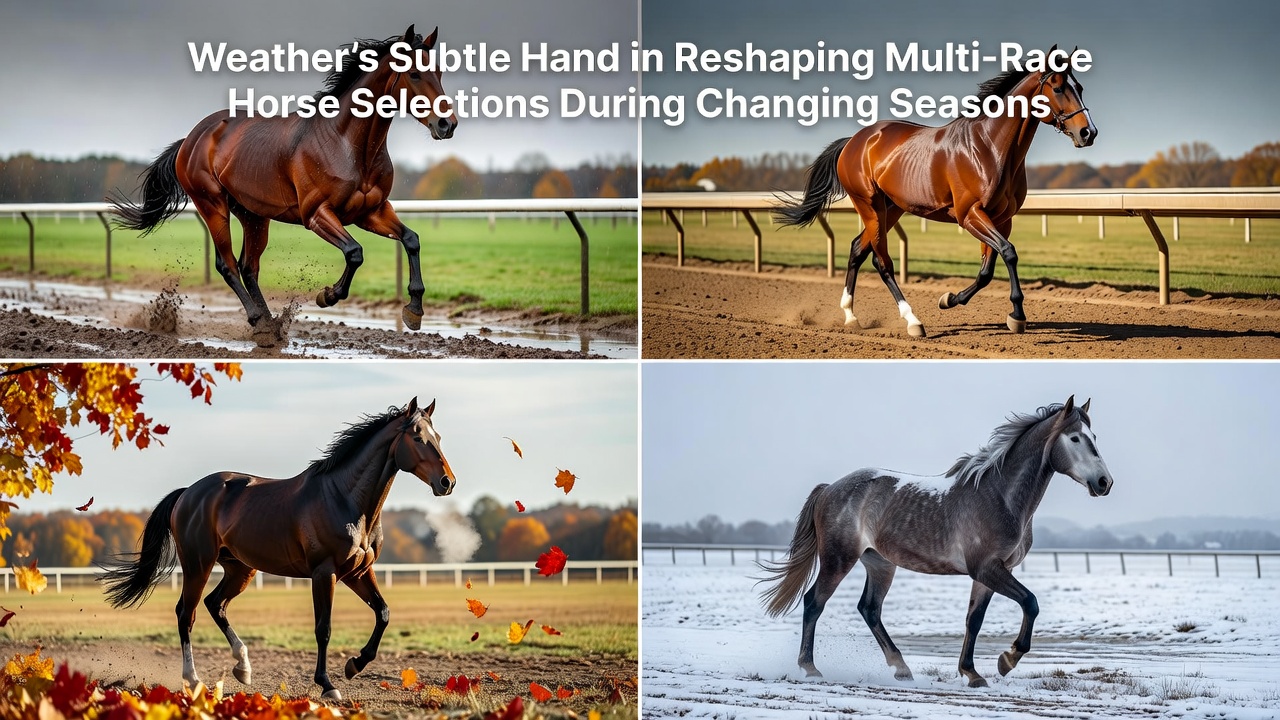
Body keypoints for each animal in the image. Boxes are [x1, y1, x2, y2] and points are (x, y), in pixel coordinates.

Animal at [101, 397, 455, 701]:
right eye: (418, 438)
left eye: (438, 436)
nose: (447, 482)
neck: (345, 499)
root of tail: (188, 492)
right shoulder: (324, 573)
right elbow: (324, 628)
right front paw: (328, 685)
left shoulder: (358, 572)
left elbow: (383, 613)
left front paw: (354, 665)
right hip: (198, 564)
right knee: (186, 613)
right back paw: (194, 680)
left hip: (240, 568)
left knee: (215, 604)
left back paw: (243, 667)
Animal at [109, 25, 457, 344]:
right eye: (414, 73)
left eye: (439, 72)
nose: (447, 124)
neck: (347, 143)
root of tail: (191, 139)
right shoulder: (316, 214)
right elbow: (355, 252)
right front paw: (328, 295)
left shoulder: (371, 211)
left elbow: (411, 240)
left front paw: (414, 310)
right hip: (212, 204)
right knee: (228, 264)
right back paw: (259, 322)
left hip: (253, 215)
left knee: (249, 267)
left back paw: (270, 323)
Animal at [758, 396, 1112, 688]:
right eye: (1075, 438)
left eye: (1095, 438)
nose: (1104, 482)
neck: (1000, 496)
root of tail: (830, 488)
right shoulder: (987, 568)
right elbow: (1030, 602)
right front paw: (1007, 660)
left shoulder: (991, 572)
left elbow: (974, 619)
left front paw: (972, 673)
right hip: (838, 558)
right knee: (814, 602)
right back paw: (810, 669)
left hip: (880, 563)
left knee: (869, 609)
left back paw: (901, 668)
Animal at [775, 48, 1097, 338]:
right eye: (1058, 87)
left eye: (1080, 87)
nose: (1088, 133)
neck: (989, 147)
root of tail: (854, 141)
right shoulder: (970, 215)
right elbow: (1008, 252)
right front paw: (1017, 315)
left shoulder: (1001, 218)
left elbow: (988, 269)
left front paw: (951, 299)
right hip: (869, 205)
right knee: (882, 262)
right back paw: (912, 321)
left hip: (891, 208)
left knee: (857, 248)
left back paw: (851, 316)